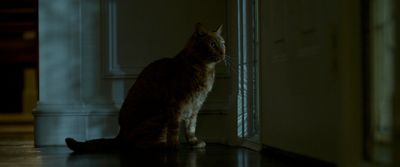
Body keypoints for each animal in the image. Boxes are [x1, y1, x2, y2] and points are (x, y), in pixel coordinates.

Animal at [67, 22, 227, 152]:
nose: (223, 53)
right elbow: (175, 129)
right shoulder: (176, 104)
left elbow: (191, 128)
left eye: (223, 43)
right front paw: (174, 145)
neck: (205, 69)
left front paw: (194, 143)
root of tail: (120, 134)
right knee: (137, 144)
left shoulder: (195, 108)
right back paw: (162, 145)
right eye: (213, 44)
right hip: (159, 115)